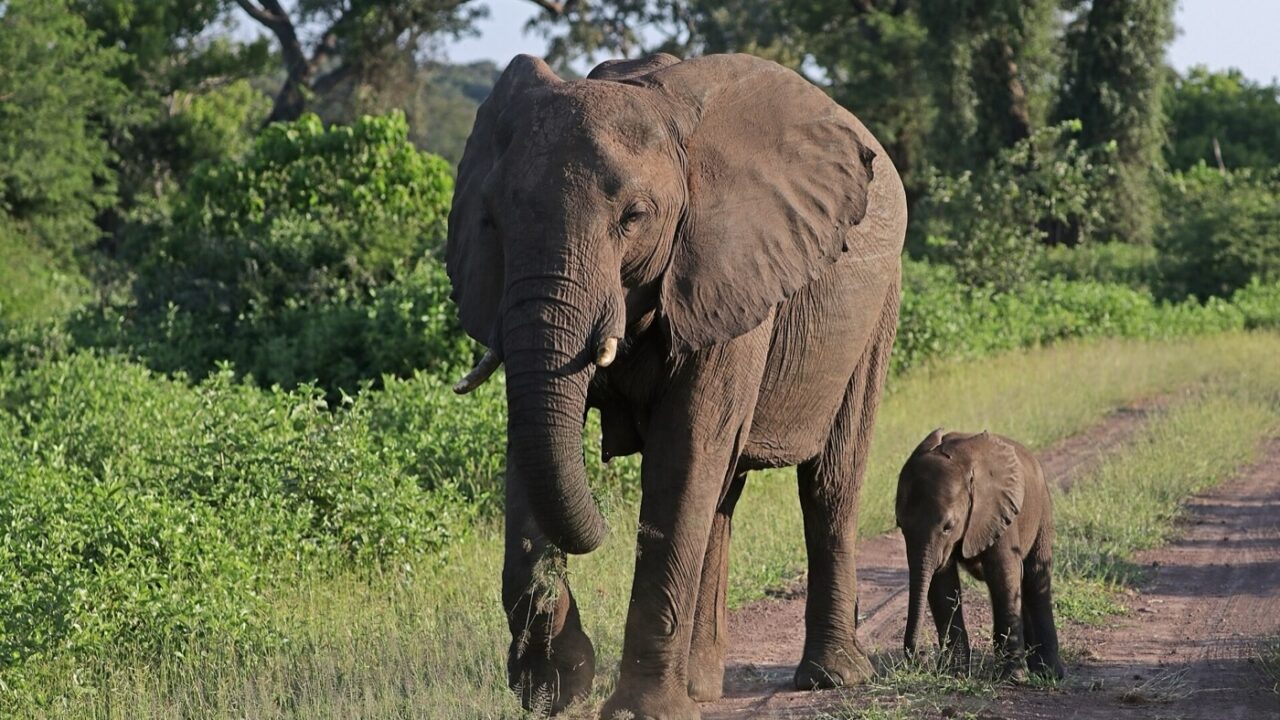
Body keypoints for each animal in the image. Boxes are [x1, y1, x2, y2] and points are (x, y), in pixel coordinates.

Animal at [446, 51, 907, 719]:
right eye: (493, 222)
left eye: (633, 218)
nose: (604, 528)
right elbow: (529, 446)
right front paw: (554, 687)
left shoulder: (729, 268)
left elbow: (684, 450)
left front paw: (635, 709)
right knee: (722, 494)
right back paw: (703, 688)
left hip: (878, 305)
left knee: (829, 481)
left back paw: (831, 678)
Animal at [895, 429, 1065, 681]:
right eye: (900, 525)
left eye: (948, 526)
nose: (920, 657)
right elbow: (943, 584)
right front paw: (953, 674)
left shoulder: (997, 510)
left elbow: (1003, 574)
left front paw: (1013, 677)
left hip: (1042, 509)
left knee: (1035, 579)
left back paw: (1049, 673)